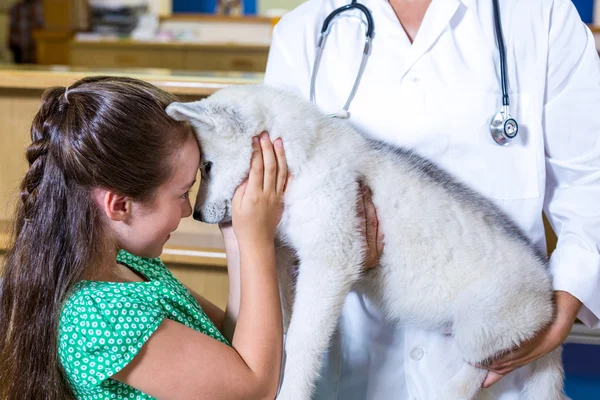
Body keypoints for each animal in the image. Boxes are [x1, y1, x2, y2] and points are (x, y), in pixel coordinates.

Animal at [166, 85, 564, 400]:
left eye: (207, 166)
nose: (196, 216)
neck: (302, 160)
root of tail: (548, 294)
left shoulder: (331, 260)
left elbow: (302, 340)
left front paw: (292, 389)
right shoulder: (284, 255)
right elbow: (289, 320)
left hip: (480, 325)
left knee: (478, 368)